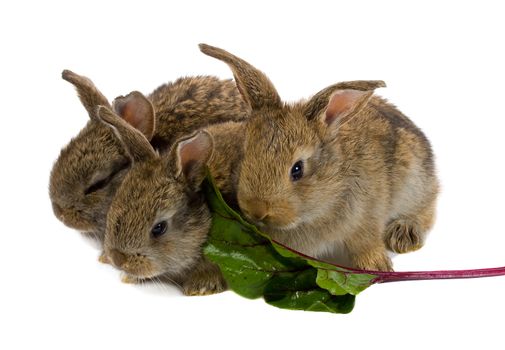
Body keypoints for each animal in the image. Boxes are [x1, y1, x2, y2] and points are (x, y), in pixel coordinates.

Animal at [199, 43, 440, 272]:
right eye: (244, 154)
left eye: (297, 169)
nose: (257, 210)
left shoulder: (367, 218)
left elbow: (366, 243)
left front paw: (377, 266)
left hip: (416, 181)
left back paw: (404, 234)